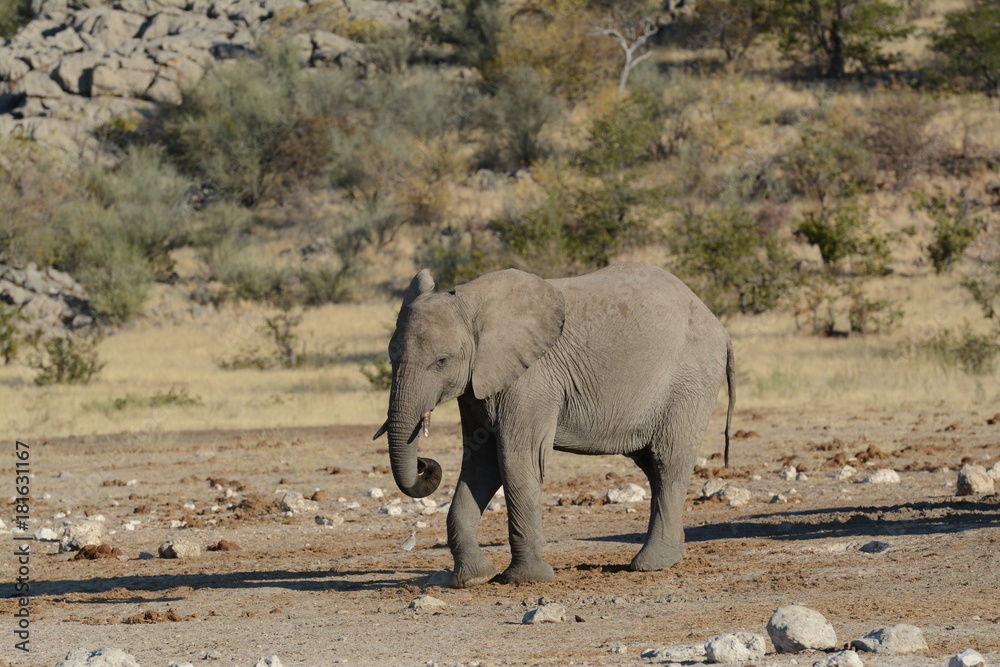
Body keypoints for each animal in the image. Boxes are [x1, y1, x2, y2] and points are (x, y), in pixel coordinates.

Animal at [373, 262, 735, 588]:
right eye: (391, 357)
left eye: (442, 361)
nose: (424, 462)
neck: (472, 304)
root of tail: (718, 324)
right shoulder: (478, 383)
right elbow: (480, 462)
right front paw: (474, 578)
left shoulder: (532, 379)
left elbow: (517, 460)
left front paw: (526, 580)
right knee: (651, 464)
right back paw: (673, 553)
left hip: (691, 380)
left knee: (667, 460)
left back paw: (652, 564)